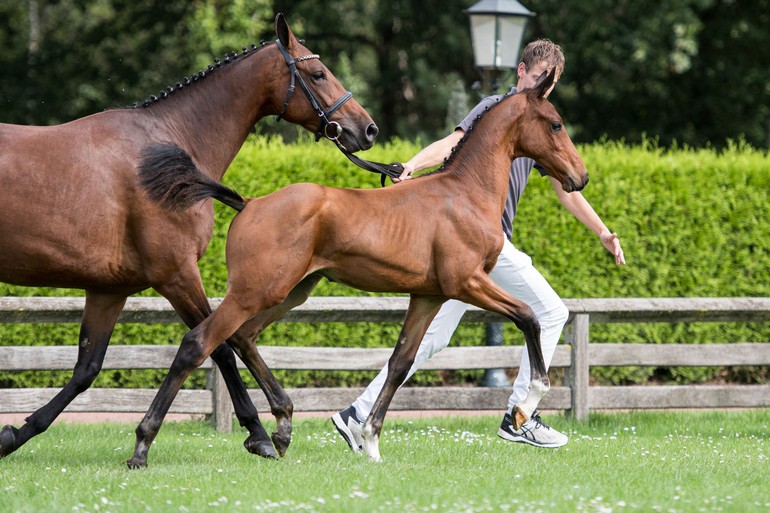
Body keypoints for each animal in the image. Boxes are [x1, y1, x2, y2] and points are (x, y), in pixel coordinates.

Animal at [130, 68, 584, 464]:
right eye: (556, 124)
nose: (581, 177)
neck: (465, 193)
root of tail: (250, 203)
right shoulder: (467, 283)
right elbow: (528, 317)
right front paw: (525, 407)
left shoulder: (429, 295)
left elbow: (400, 363)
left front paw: (370, 443)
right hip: (254, 292)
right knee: (199, 343)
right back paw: (143, 447)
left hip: (288, 292)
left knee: (242, 338)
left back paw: (281, 430)